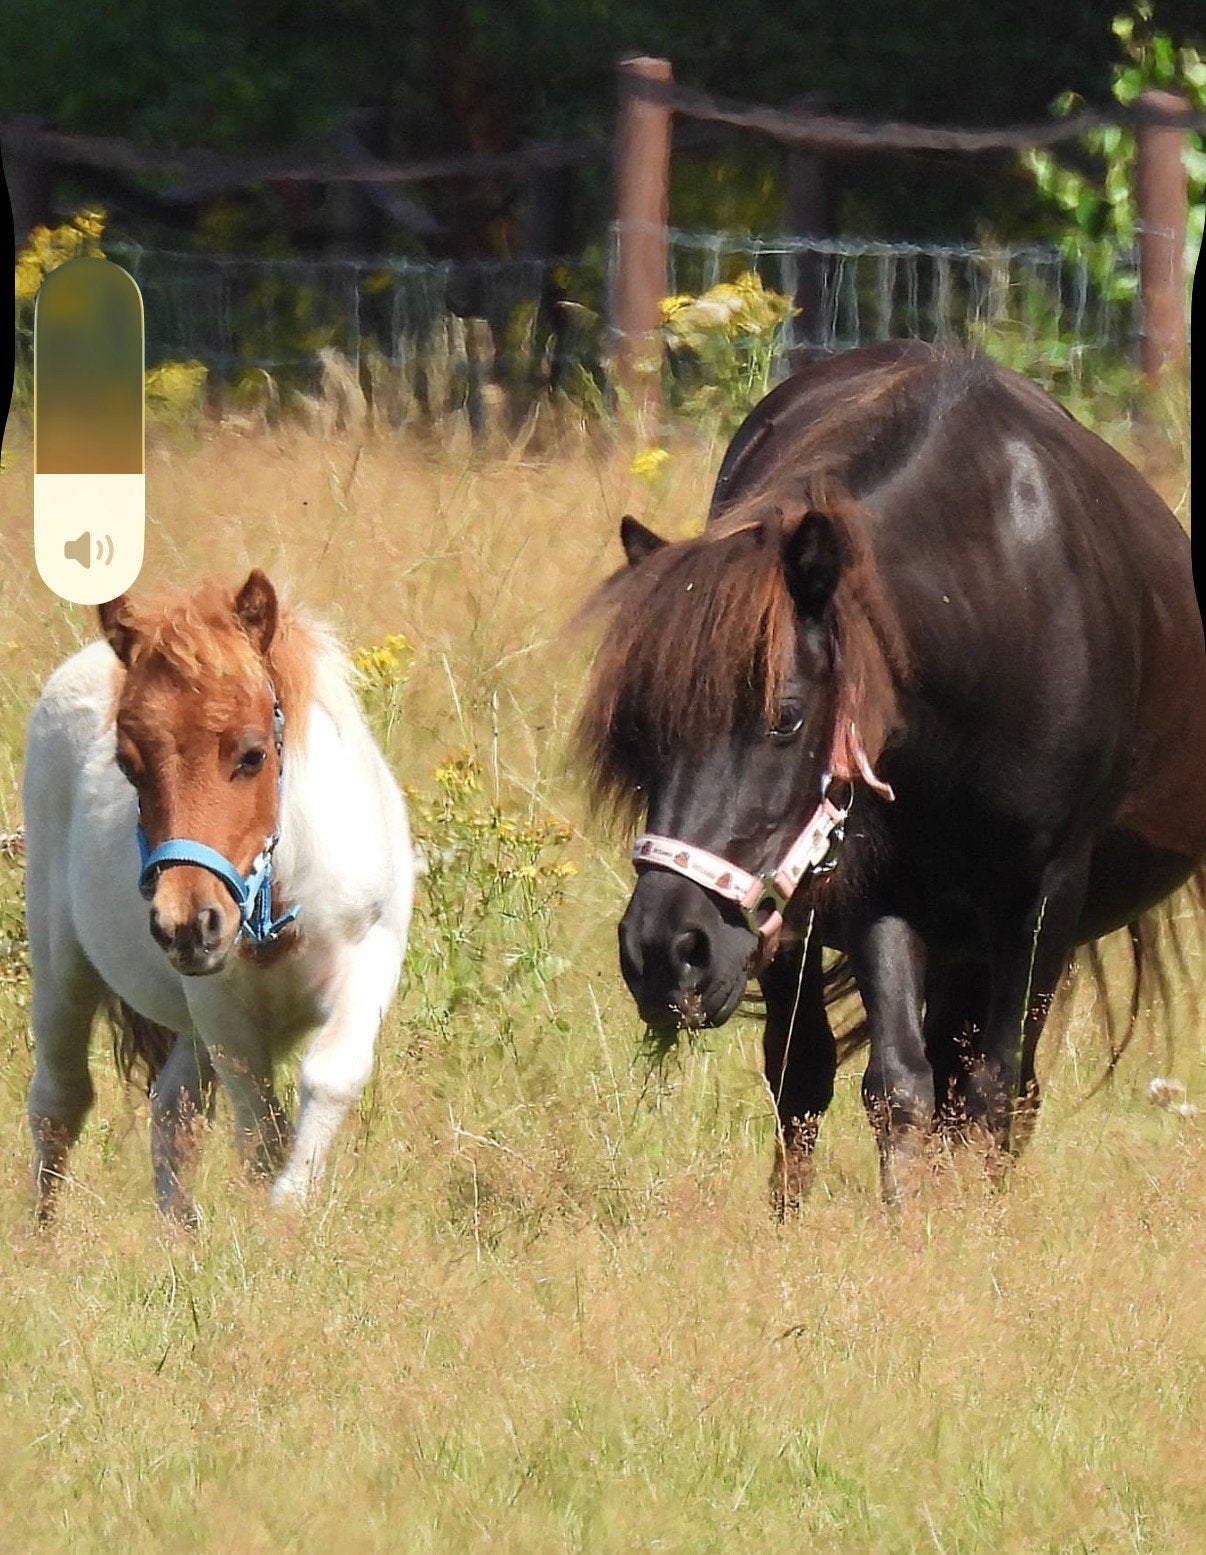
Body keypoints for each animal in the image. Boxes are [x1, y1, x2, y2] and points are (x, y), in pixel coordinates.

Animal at [23, 569, 414, 1223]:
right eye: (128, 766)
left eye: (253, 754)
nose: (186, 923)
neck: (278, 902)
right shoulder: (220, 1007)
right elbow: (259, 1127)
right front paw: (274, 1219)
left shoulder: (369, 960)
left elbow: (330, 1076)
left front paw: (289, 1211)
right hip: (62, 969)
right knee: (59, 1100)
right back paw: (40, 1237)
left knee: (169, 1112)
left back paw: (179, 1236)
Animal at [576, 342, 1206, 1208]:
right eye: (641, 731)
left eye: (786, 717)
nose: (664, 952)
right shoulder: (882, 890)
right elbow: (898, 1086)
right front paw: (908, 1222)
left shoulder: (1044, 896)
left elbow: (996, 1088)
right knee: (808, 1069)